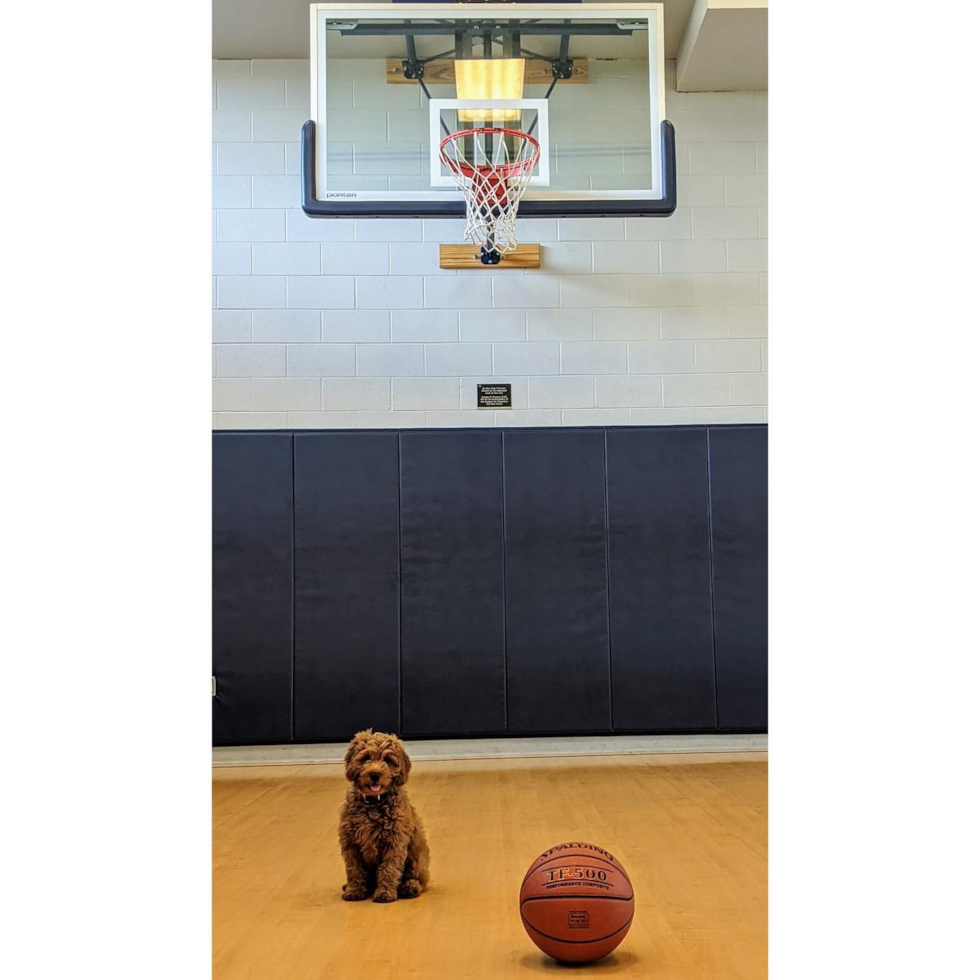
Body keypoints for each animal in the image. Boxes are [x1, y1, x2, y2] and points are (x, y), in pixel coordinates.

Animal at [336, 728, 428, 904]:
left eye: (387, 760)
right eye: (366, 758)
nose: (375, 774)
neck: (374, 803)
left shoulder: (394, 842)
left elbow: (389, 869)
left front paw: (385, 893)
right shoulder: (351, 843)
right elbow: (354, 870)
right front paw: (354, 891)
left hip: (417, 858)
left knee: (417, 879)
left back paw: (409, 888)